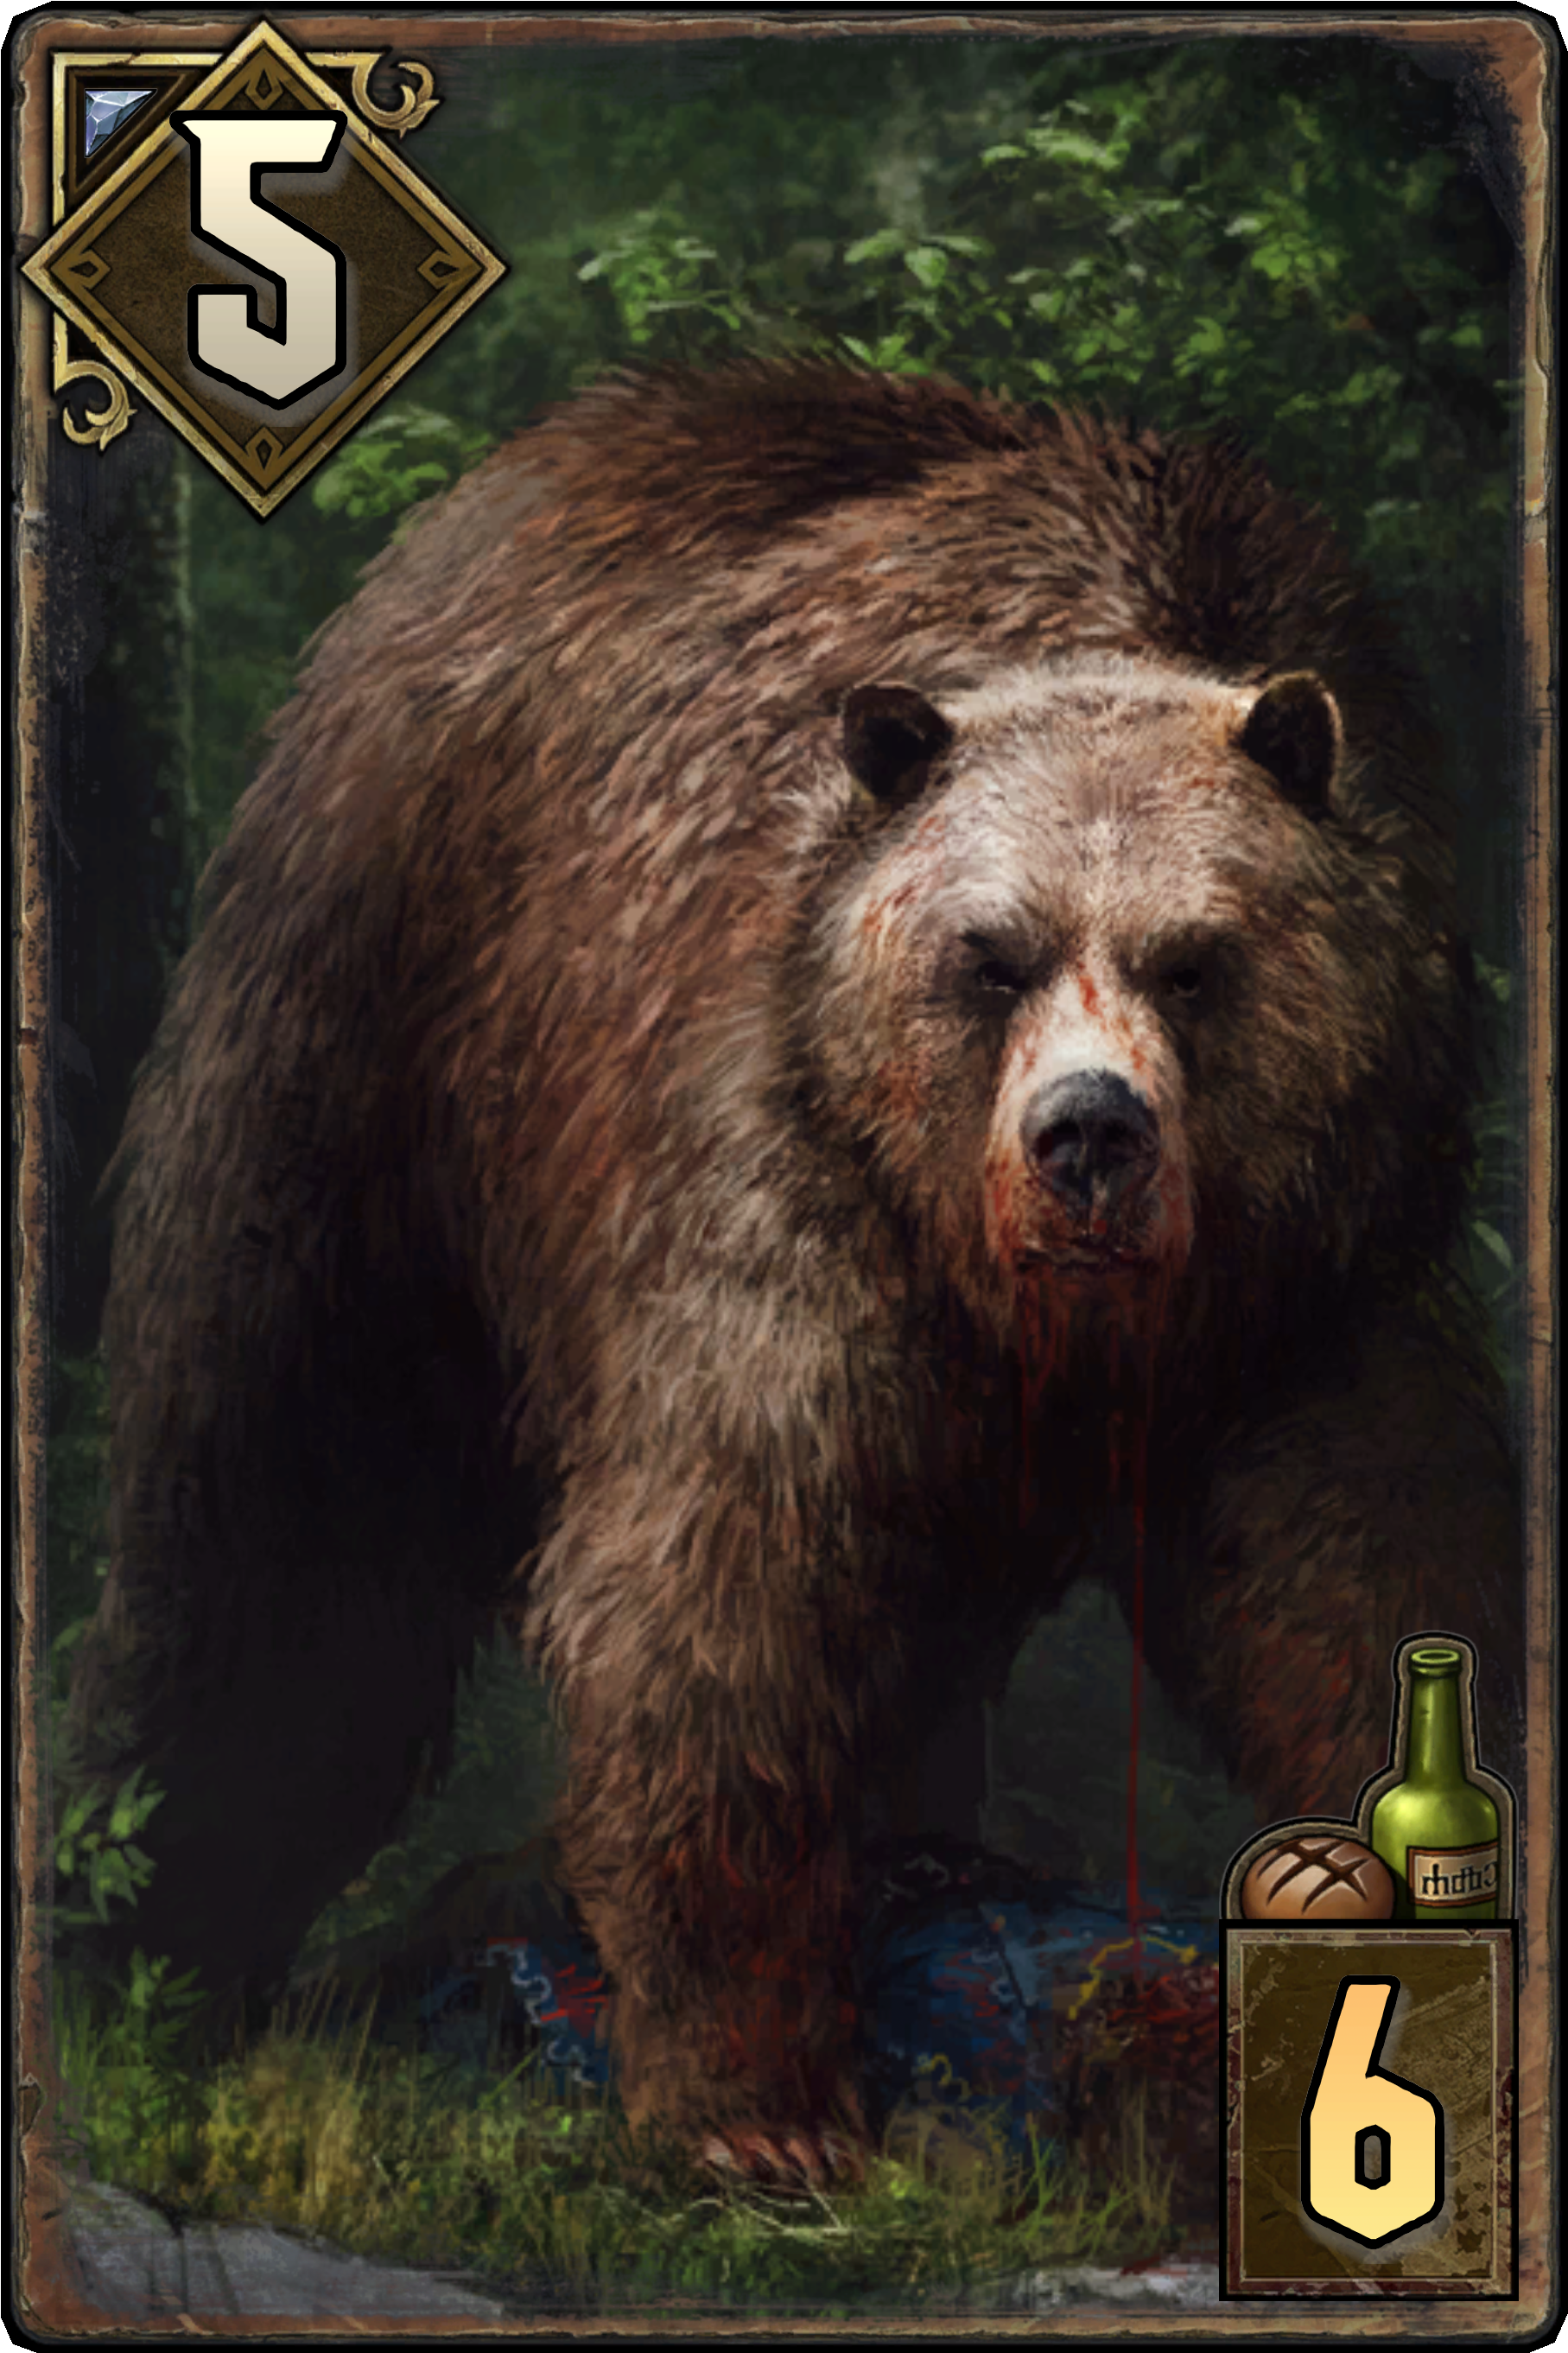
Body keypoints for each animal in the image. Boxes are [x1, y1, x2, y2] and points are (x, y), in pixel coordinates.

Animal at [64, 358, 1521, 2184]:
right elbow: (725, 1599)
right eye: (992, 954)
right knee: (278, 1499)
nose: (1088, 1135)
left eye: (1198, 959)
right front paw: (760, 2110)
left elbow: (1363, 1571)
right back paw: (149, 1938)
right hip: (371, 1027)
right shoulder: (789, 1185)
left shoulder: (1327, 1258)